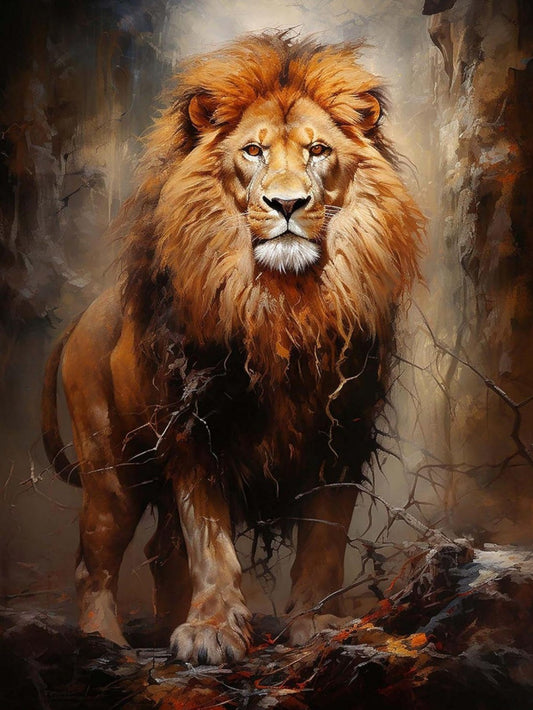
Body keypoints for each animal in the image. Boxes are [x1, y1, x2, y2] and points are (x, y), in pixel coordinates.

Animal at [42, 32, 423, 665]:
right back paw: (105, 642)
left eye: (319, 150)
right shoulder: (196, 429)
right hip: (111, 472)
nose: (287, 205)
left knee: (160, 554)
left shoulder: (343, 433)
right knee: (91, 563)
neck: (283, 303)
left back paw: (161, 623)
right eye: (252, 151)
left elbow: (323, 543)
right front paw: (212, 629)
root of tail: (85, 316)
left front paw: (317, 624)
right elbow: (211, 544)